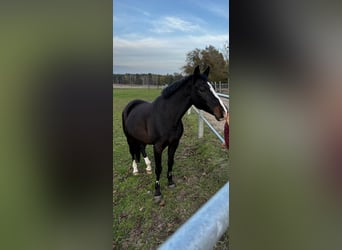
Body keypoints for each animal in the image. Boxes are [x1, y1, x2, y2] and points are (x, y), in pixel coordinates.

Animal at [122, 65, 227, 200]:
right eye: (202, 89)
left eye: (213, 87)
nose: (223, 112)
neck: (167, 116)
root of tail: (130, 105)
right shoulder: (158, 147)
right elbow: (159, 168)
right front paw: (157, 192)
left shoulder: (174, 143)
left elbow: (170, 162)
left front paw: (170, 182)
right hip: (129, 138)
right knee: (132, 152)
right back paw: (135, 170)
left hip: (141, 138)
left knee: (141, 148)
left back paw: (148, 167)